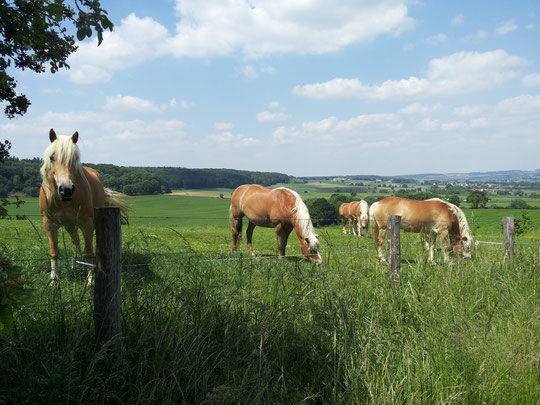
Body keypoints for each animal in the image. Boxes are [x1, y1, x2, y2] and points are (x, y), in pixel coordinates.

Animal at [39, 128, 131, 282]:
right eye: (52, 158)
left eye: (75, 158)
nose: (66, 190)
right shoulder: (49, 223)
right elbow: (54, 252)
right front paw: (53, 279)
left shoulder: (86, 222)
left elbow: (89, 252)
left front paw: (90, 279)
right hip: (69, 224)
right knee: (75, 240)